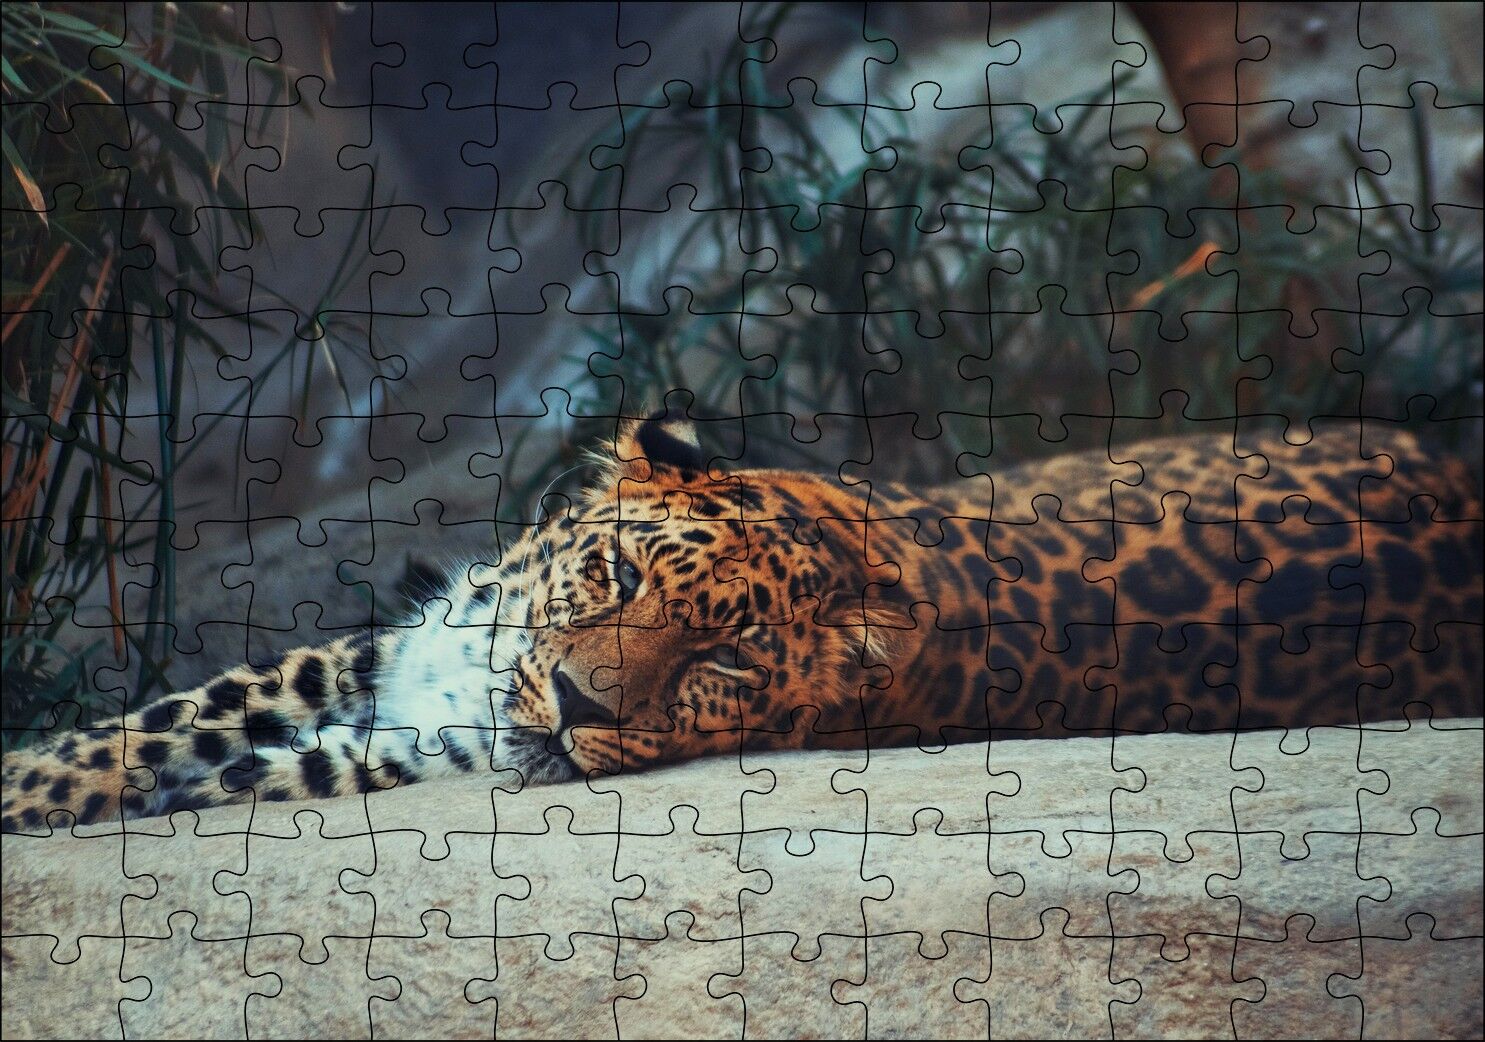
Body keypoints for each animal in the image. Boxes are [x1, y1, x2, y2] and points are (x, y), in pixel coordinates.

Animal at [3, 416, 1481, 831]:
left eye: (716, 662)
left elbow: (271, 761)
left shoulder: (426, 735)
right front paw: (39, 774)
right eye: (610, 580)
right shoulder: (394, 646)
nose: (578, 705)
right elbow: (163, 718)